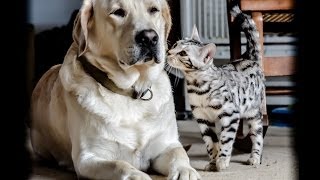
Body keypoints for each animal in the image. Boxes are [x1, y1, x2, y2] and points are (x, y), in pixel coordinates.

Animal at [30, 0, 200, 179]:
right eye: (118, 12)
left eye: (154, 10)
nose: (149, 37)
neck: (130, 91)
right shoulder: (88, 157)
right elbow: (119, 165)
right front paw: (138, 175)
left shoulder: (166, 145)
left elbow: (180, 154)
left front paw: (185, 171)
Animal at [168, 4, 264, 171]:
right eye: (175, 45)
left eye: (183, 53)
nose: (168, 52)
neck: (198, 88)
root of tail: (249, 58)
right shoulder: (203, 119)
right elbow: (211, 143)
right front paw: (213, 162)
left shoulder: (231, 115)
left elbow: (225, 140)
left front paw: (222, 160)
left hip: (253, 113)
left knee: (257, 136)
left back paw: (255, 157)